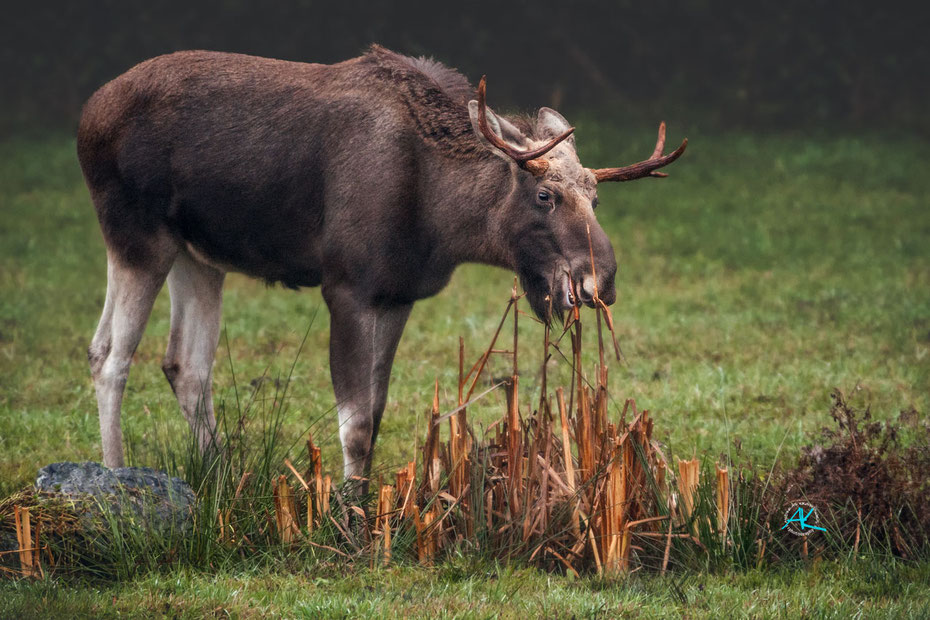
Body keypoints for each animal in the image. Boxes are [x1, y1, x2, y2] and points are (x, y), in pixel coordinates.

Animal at [78, 47, 680, 484]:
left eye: (595, 198)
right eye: (544, 195)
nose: (601, 278)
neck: (441, 218)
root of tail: (86, 119)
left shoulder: (396, 294)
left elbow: (378, 409)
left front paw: (366, 504)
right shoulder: (346, 286)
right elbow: (355, 423)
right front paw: (347, 516)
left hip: (199, 256)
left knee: (184, 365)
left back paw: (219, 479)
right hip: (137, 237)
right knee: (109, 357)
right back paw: (115, 479)